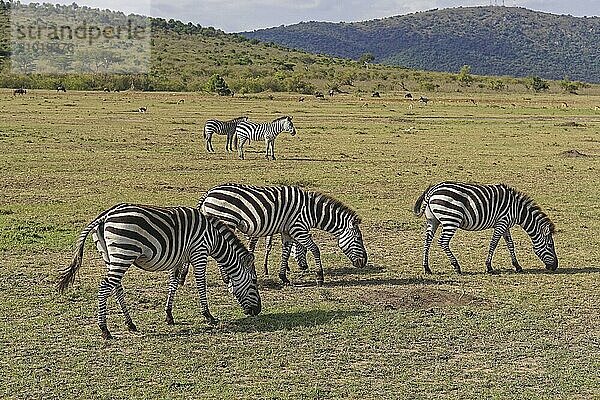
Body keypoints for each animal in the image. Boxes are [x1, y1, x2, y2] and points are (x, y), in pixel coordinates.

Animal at [57, 205, 262, 340]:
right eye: (254, 282)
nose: (257, 311)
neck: (214, 238)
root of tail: (105, 215)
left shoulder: (180, 257)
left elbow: (173, 283)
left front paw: (169, 315)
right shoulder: (199, 252)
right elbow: (200, 283)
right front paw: (208, 315)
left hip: (111, 255)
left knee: (116, 287)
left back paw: (130, 323)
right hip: (124, 252)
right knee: (105, 286)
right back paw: (104, 329)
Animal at [198, 183, 366, 286]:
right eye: (358, 238)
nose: (364, 262)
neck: (311, 211)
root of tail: (208, 193)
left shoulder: (287, 231)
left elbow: (285, 252)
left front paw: (283, 277)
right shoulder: (298, 228)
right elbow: (315, 249)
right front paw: (320, 277)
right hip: (225, 220)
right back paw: (226, 279)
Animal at [412, 182, 556, 274]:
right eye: (550, 245)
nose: (555, 266)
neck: (517, 210)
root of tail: (432, 190)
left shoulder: (505, 225)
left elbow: (510, 244)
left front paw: (517, 266)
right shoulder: (501, 223)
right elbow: (493, 243)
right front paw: (489, 267)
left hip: (433, 220)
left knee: (427, 241)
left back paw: (427, 268)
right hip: (451, 219)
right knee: (443, 242)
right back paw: (456, 267)